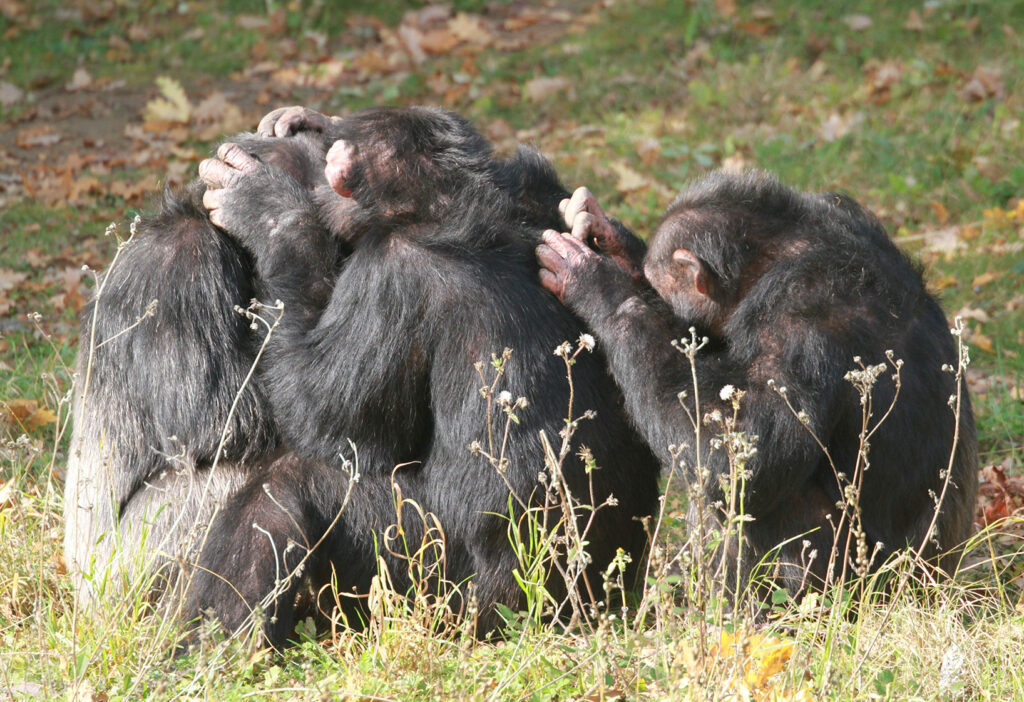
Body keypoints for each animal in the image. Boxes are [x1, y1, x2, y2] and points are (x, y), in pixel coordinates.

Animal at [536, 170, 974, 593]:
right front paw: (608, 237)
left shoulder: (797, 321)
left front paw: (599, 284)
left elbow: (748, 451)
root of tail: (940, 583)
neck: (784, 250)